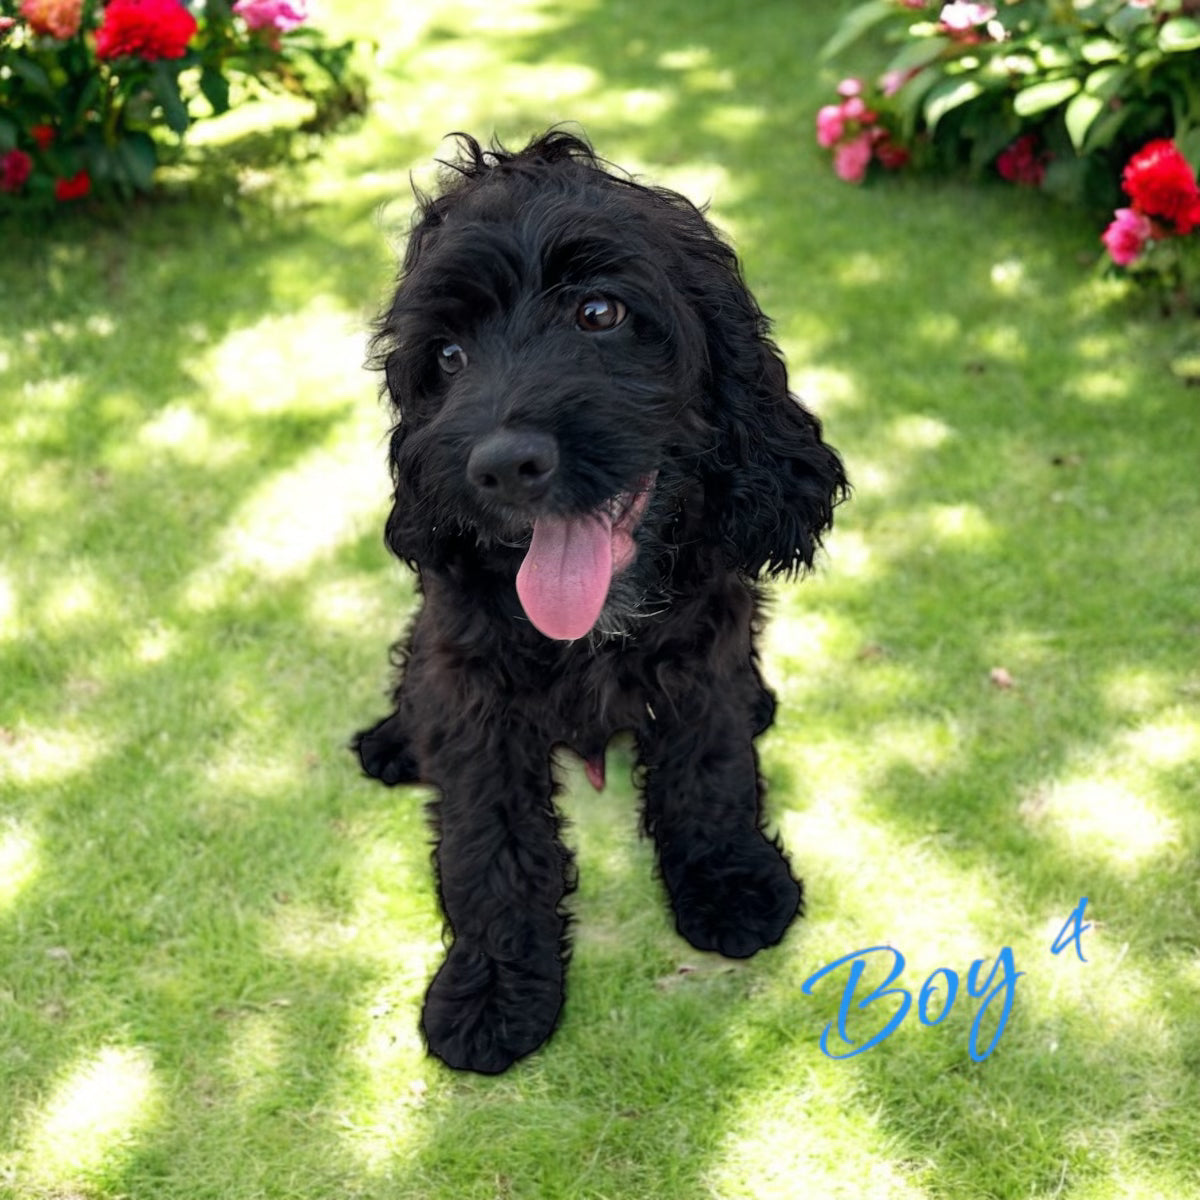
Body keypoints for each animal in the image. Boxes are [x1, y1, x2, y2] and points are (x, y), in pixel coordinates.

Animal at [350, 131, 849, 1080]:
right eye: (448, 358)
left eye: (598, 313)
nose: (502, 465)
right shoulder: (472, 689)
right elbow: (490, 840)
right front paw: (492, 991)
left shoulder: (704, 657)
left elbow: (710, 774)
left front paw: (731, 883)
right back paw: (393, 738)